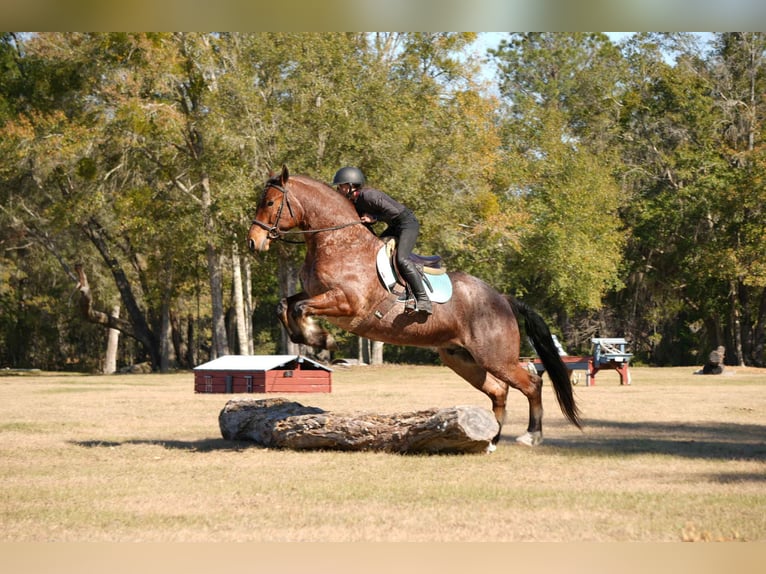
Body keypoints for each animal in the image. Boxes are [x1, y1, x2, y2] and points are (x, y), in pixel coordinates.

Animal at [247, 165, 581, 447]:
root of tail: (503, 299)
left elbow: (301, 308)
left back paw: (530, 436)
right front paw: (308, 338)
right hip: (461, 358)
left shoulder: (347, 303)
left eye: (270, 203)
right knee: (499, 390)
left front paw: (322, 339)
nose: (253, 242)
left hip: (496, 357)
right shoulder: (315, 293)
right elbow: (285, 305)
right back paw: (491, 440)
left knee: (532, 383)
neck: (337, 241)